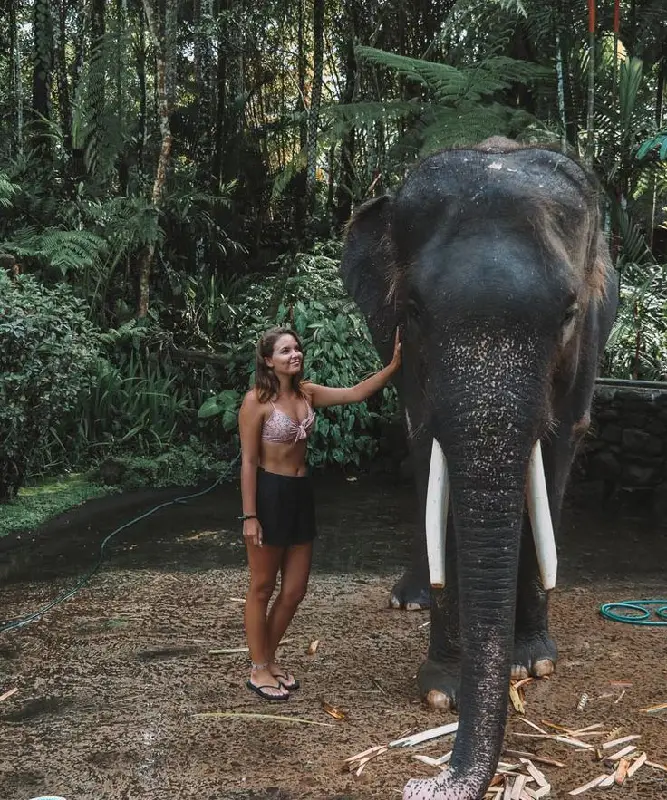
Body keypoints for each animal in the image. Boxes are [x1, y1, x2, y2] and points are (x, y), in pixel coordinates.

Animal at [340, 137, 618, 800]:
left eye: (569, 311)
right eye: (414, 308)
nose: (423, 782)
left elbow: (557, 456)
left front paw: (533, 661)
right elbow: (425, 449)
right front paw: (442, 690)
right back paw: (410, 598)